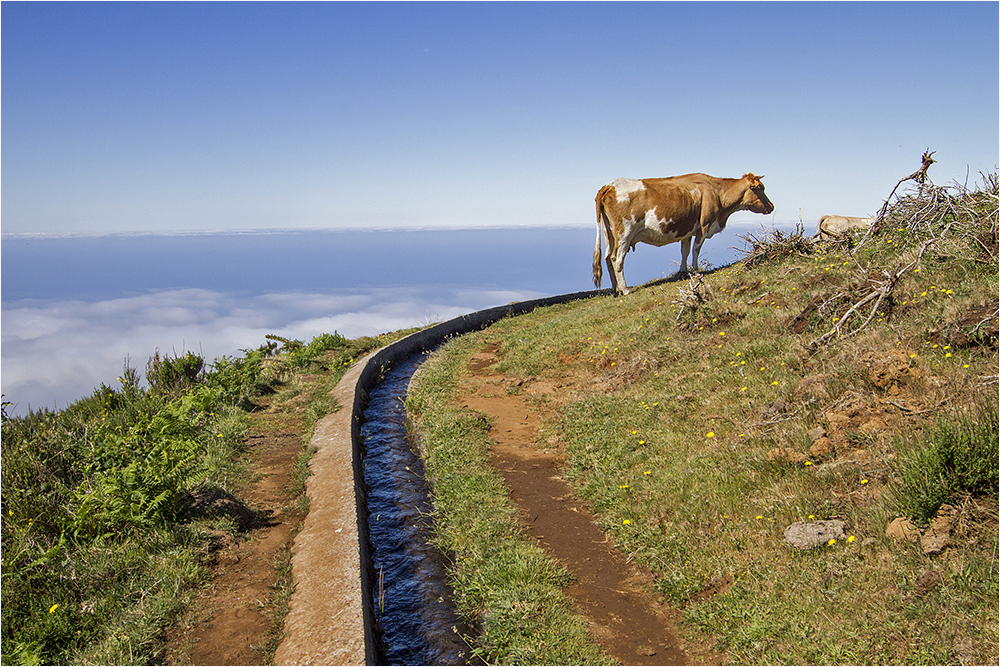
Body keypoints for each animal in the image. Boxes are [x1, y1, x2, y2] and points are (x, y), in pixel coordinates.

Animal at [592, 172, 772, 294]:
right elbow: (696, 250)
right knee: (617, 258)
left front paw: (683, 271)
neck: (718, 193)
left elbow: (684, 250)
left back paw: (616, 289)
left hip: (610, 234)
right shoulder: (704, 226)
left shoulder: (688, 230)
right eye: (760, 188)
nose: (772, 206)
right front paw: (696, 270)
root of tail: (610, 185)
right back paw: (625, 289)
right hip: (625, 232)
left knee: (607, 257)